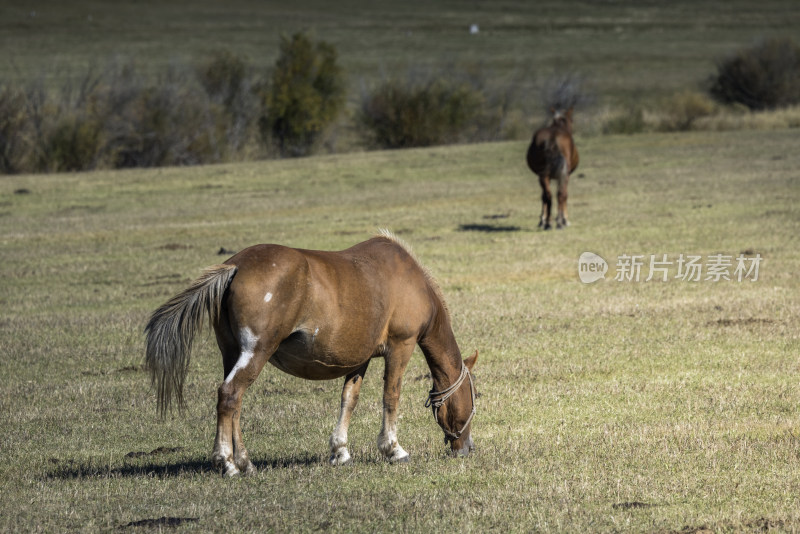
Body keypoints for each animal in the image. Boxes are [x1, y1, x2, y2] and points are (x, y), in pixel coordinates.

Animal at [145, 230, 476, 478]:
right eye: (475, 399)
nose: (467, 448)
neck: (410, 280)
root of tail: (236, 267)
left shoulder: (359, 359)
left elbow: (349, 400)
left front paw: (340, 450)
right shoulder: (401, 346)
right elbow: (391, 397)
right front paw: (393, 449)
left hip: (232, 354)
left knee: (233, 403)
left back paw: (245, 462)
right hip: (256, 352)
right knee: (229, 395)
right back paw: (228, 463)